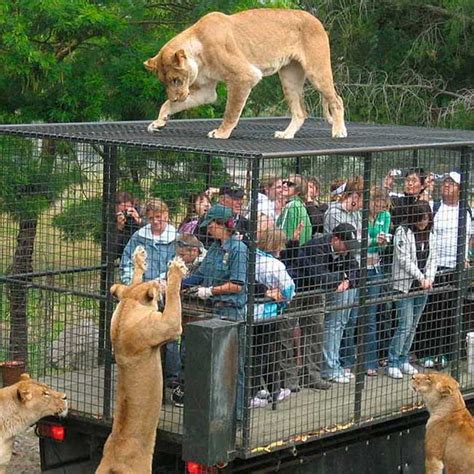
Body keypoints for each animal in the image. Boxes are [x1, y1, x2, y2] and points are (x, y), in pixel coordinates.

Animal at [95, 248, 186, 474]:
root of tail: (111, 460)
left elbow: (133, 280)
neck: (127, 307)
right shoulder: (168, 326)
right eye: (156, 283)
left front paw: (139, 258)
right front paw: (176, 269)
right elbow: (173, 301)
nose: (160, 280)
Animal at [143, 7, 346, 139]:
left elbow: (231, 111)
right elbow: (167, 104)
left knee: (337, 100)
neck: (198, 48)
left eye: (176, 80)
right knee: (300, 112)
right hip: (289, 78)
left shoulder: (244, 76)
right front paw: (158, 122)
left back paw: (339, 131)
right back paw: (286, 134)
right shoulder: (206, 91)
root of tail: (315, 19)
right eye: (165, 82)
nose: (177, 97)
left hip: (316, 71)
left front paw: (221, 133)